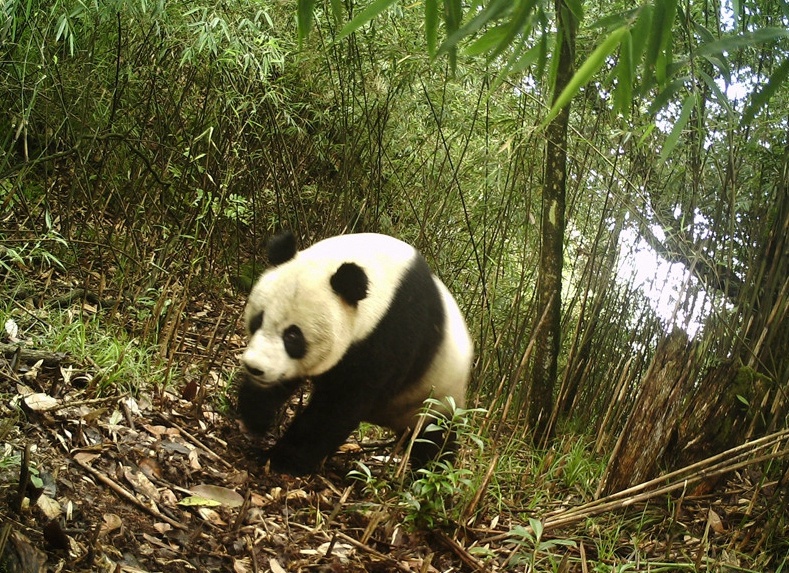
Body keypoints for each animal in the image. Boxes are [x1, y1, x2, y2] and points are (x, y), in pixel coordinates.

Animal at [235, 229, 474, 474]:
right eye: (258, 320)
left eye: (293, 336)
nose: (255, 367)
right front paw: (255, 416)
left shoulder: (392, 336)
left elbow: (338, 406)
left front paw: (282, 459)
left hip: (436, 396)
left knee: (434, 438)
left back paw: (434, 471)